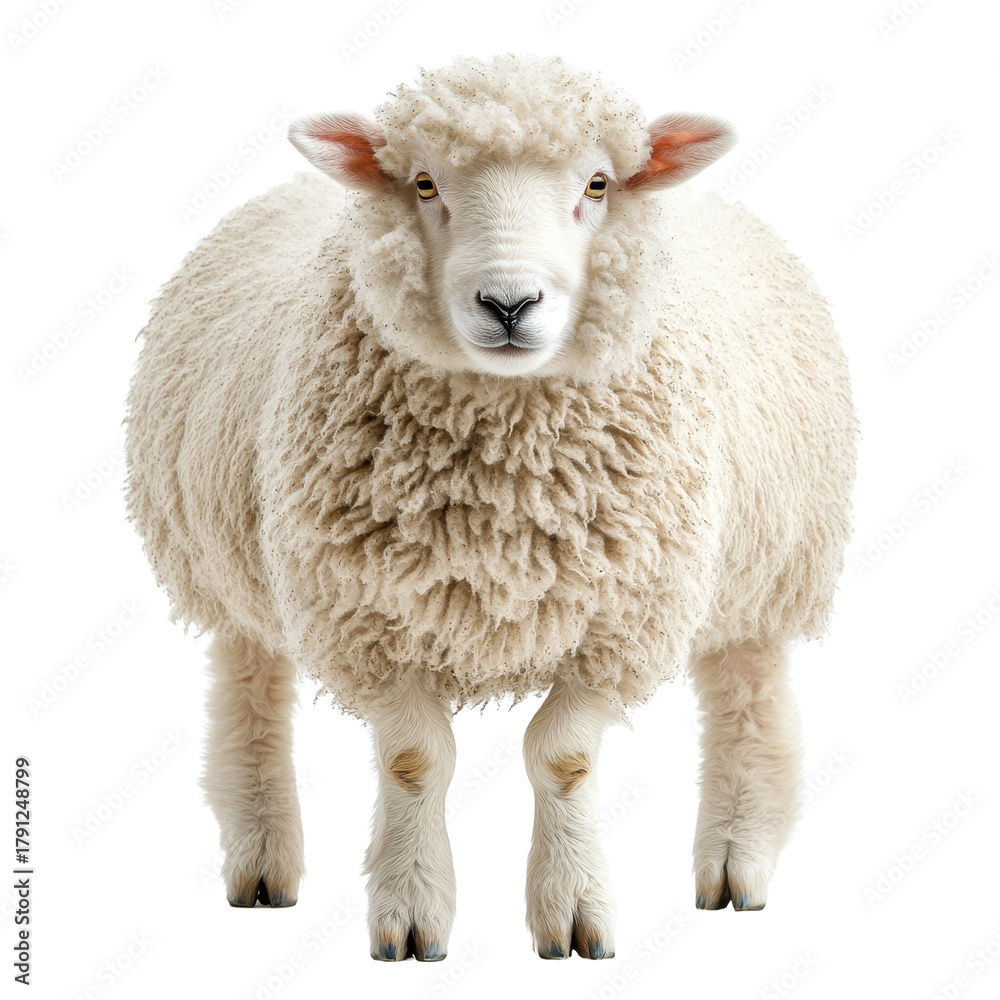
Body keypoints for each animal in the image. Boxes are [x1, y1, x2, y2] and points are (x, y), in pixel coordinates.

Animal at [124, 53, 857, 962]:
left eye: (599, 182)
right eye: (425, 183)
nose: (509, 304)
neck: (506, 483)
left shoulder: (620, 616)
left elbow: (564, 758)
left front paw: (573, 911)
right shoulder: (365, 614)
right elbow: (413, 758)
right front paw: (410, 914)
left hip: (768, 562)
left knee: (747, 697)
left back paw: (736, 863)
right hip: (229, 563)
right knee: (250, 688)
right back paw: (262, 862)